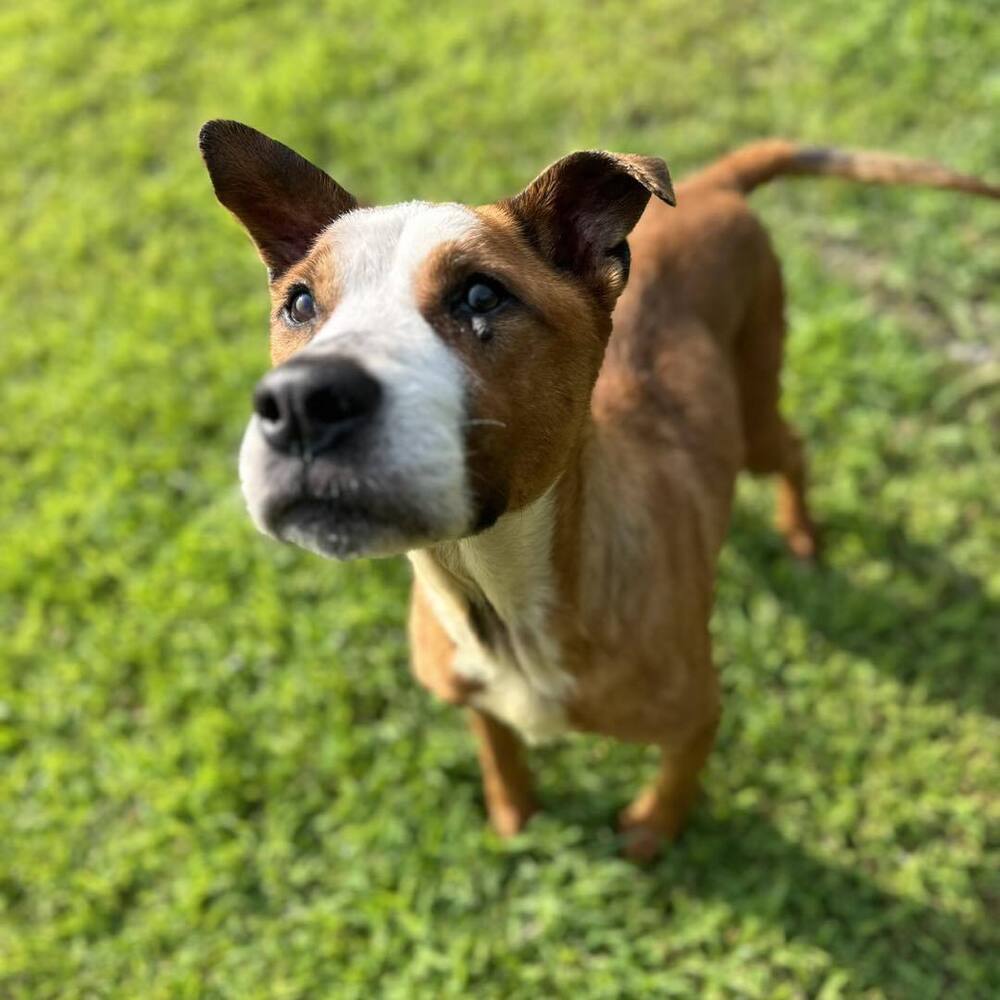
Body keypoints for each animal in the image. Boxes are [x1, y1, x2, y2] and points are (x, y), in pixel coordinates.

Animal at [199, 123, 996, 860]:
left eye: (482, 293)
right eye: (300, 303)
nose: (301, 402)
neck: (499, 600)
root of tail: (711, 187)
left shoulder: (699, 712)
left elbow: (676, 778)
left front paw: (650, 833)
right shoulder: (473, 697)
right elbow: (500, 752)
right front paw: (515, 814)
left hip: (758, 405)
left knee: (792, 450)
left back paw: (803, 535)